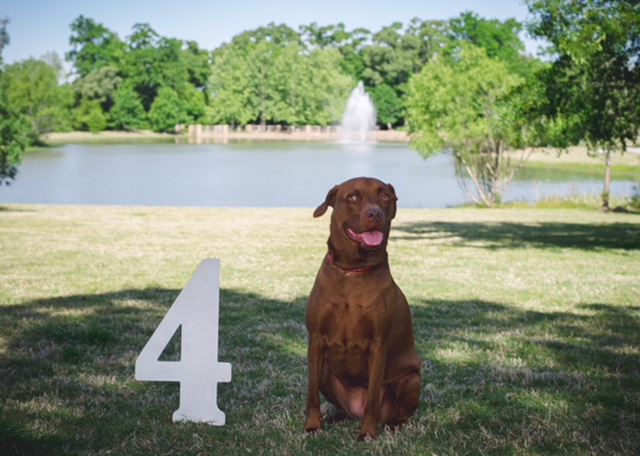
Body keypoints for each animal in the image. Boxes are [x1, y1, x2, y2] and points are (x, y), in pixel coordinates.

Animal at [304, 176, 422, 440]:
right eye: (352, 197)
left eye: (385, 196)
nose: (375, 213)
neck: (353, 269)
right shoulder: (315, 339)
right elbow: (312, 393)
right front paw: (312, 425)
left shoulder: (378, 344)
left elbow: (373, 399)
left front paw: (367, 433)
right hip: (327, 370)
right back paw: (336, 416)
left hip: (411, 378)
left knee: (403, 412)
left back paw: (393, 424)